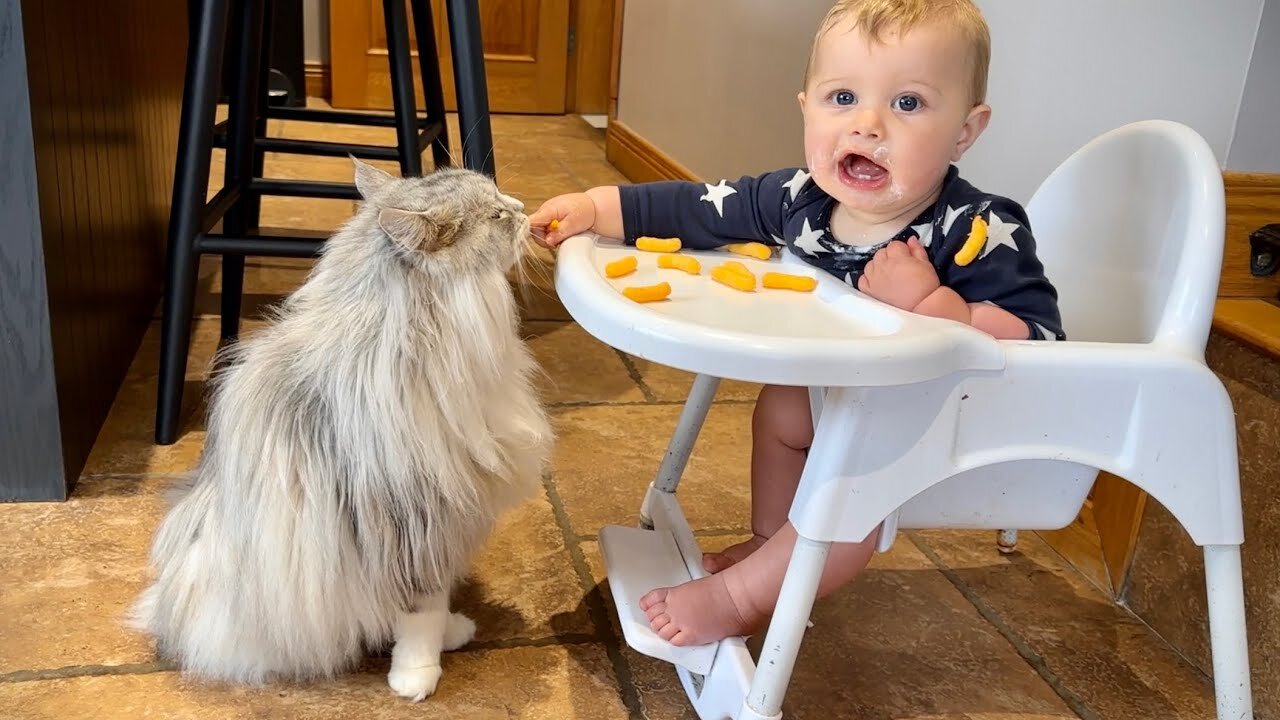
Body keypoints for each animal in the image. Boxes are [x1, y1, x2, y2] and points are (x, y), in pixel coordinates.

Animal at [127, 155, 552, 696]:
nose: (521, 207)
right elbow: (425, 612)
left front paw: (447, 638)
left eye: (502, 202)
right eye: (497, 215)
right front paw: (418, 675)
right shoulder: (416, 525)